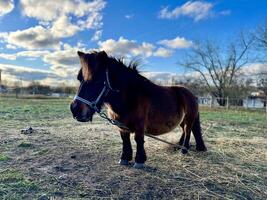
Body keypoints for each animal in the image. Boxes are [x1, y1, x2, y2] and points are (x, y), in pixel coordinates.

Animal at [70, 50, 207, 168]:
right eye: (79, 79)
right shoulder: (121, 125)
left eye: (97, 80)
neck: (130, 96)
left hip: (189, 118)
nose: (74, 109)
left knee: (188, 131)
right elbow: (125, 140)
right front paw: (124, 158)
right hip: (182, 119)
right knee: (184, 130)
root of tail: (191, 94)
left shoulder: (140, 125)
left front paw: (139, 161)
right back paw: (178, 146)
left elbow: (138, 140)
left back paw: (184, 150)